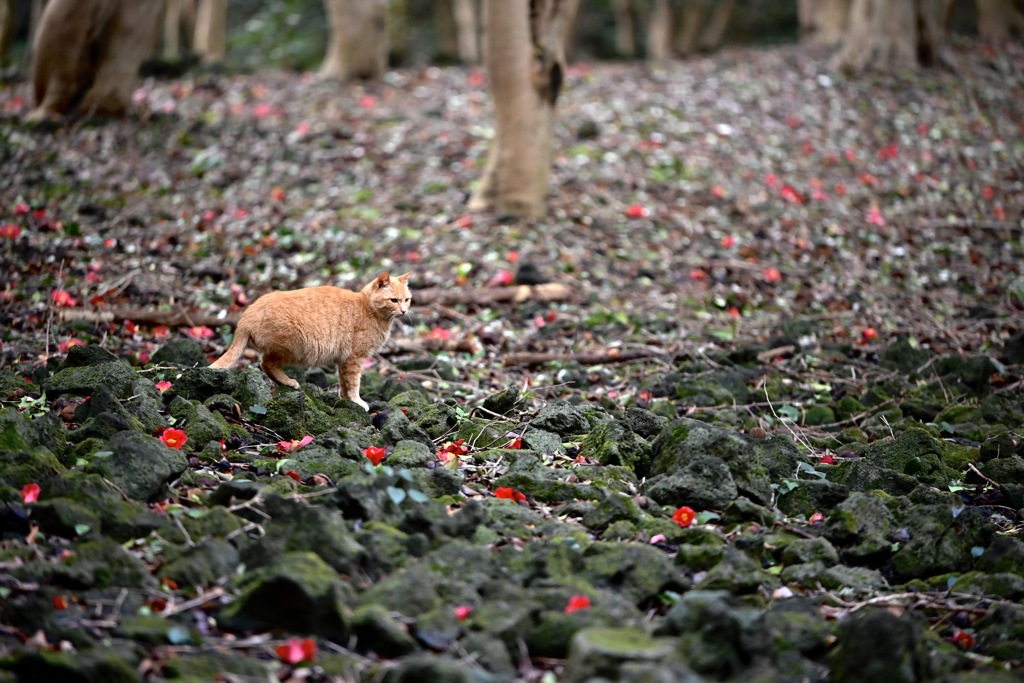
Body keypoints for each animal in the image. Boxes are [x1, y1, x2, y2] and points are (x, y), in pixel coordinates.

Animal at [208, 272, 411, 411]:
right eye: (394, 300)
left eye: (407, 300)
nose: (404, 311)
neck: (368, 308)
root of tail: (247, 314)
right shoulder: (355, 358)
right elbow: (354, 383)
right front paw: (357, 402)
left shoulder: (343, 360)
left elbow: (344, 383)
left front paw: (346, 400)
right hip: (291, 347)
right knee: (266, 364)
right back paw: (290, 382)